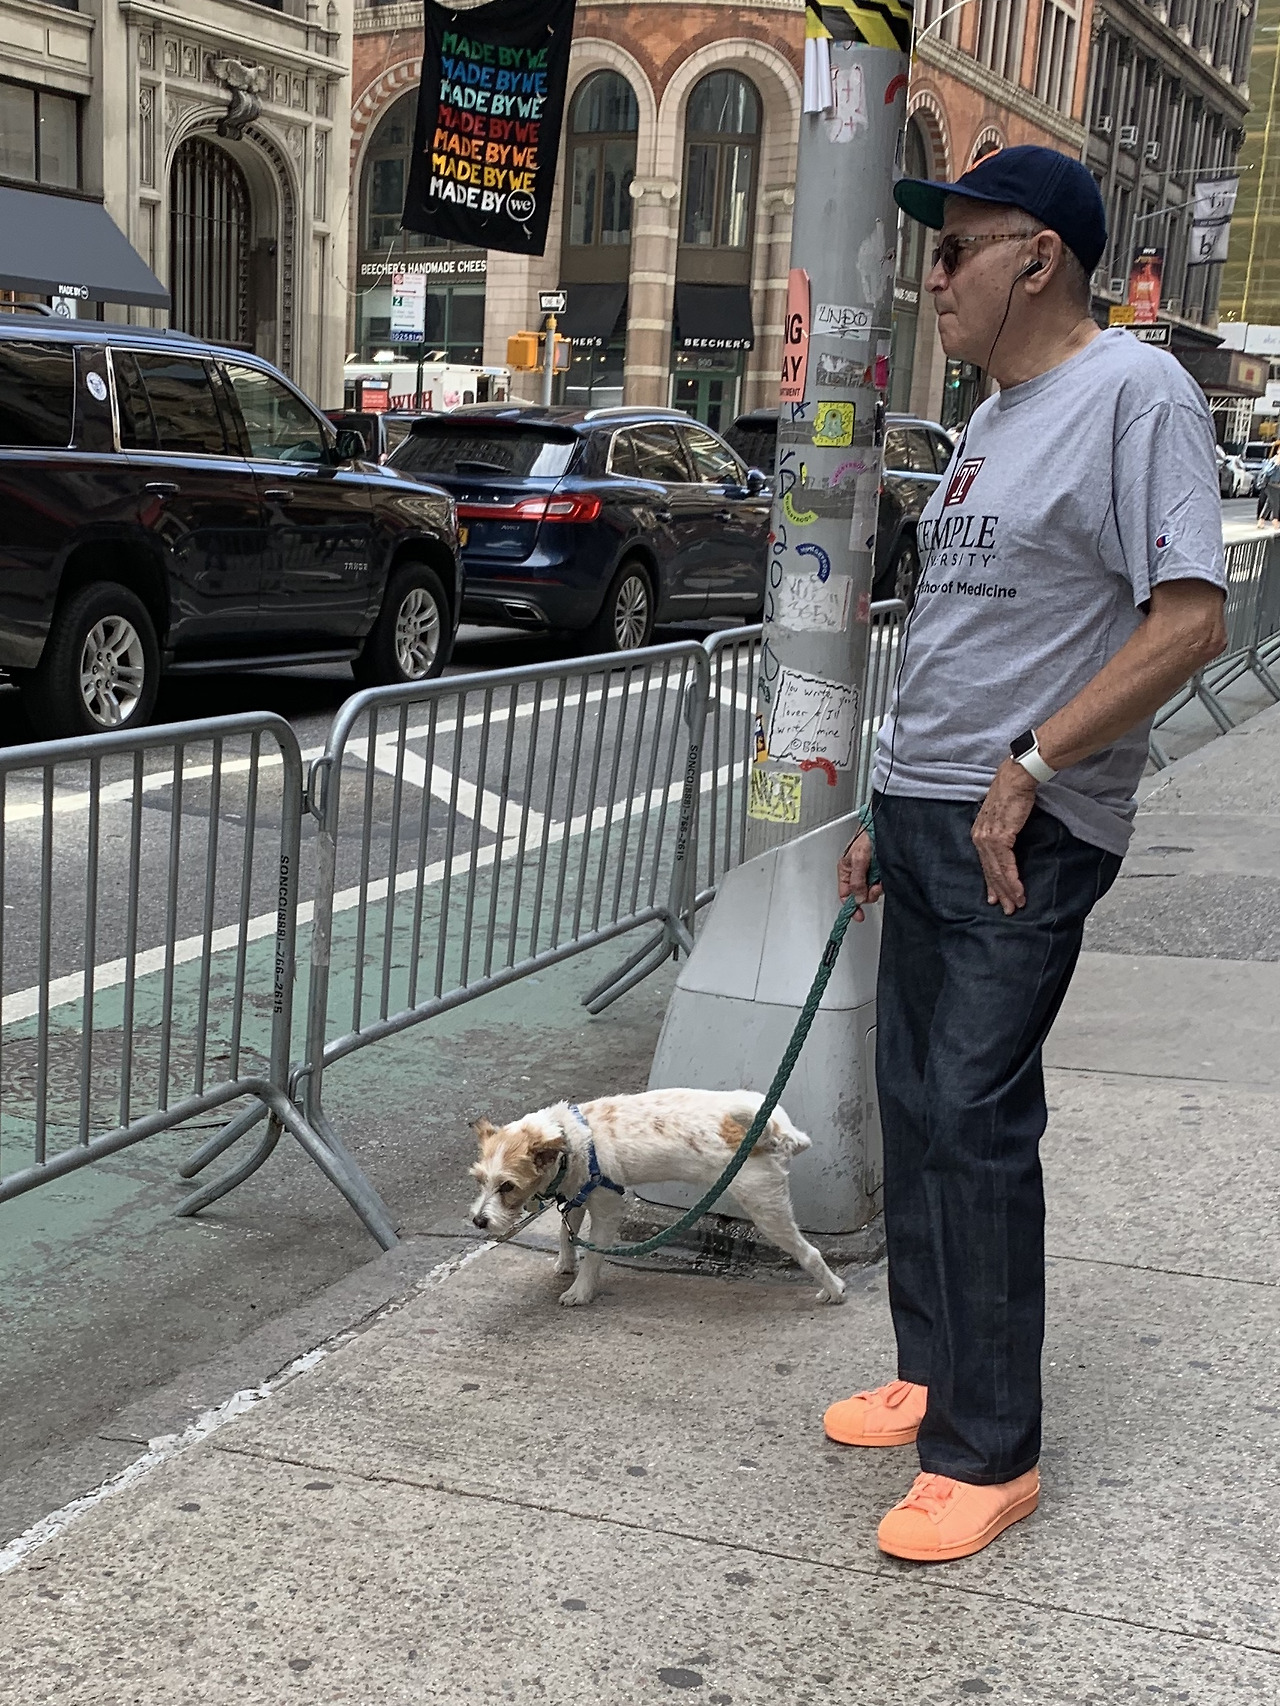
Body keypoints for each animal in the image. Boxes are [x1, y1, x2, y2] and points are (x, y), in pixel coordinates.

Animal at [468, 1088, 847, 1308]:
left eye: (507, 1186)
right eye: (480, 1180)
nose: (478, 1221)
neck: (570, 1139)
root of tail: (775, 1132)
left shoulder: (607, 1209)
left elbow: (593, 1256)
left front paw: (581, 1290)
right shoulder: (574, 1195)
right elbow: (566, 1231)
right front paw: (565, 1262)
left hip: (766, 1208)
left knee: (810, 1253)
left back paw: (833, 1289)